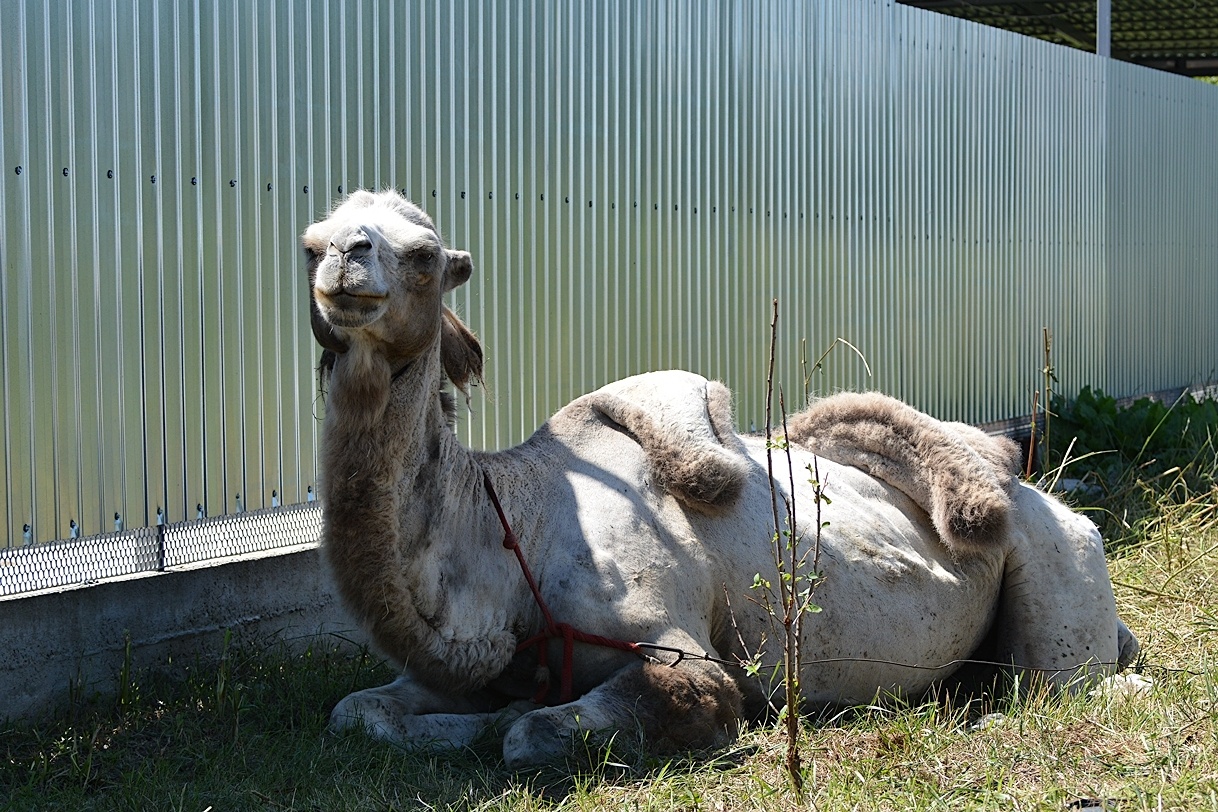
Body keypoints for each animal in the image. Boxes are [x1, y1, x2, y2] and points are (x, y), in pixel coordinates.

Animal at [306, 188, 1140, 769]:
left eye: (423, 255)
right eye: (310, 245)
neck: (512, 528)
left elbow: (535, 732)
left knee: (1065, 683)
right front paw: (472, 721)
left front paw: (506, 725)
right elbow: (354, 711)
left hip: (1057, 568)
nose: (344, 260)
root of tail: (1051, 499)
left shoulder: (685, 656)